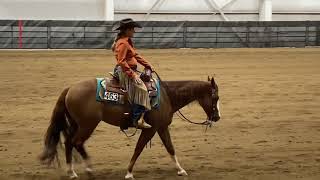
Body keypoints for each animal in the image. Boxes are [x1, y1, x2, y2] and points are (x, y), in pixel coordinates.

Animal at [39, 75, 220, 179]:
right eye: (216, 97)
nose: (217, 117)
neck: (167, 96)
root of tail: (70, 88)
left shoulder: (161, 127)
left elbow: (170, 148)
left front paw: (180, 170)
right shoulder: (150, 128)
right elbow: (138, 149)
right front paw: (128, 173)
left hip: (77, 124)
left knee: (69, 142)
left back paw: (72, 172)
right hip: (87, 125)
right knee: (76, 142)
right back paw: (88, 169)